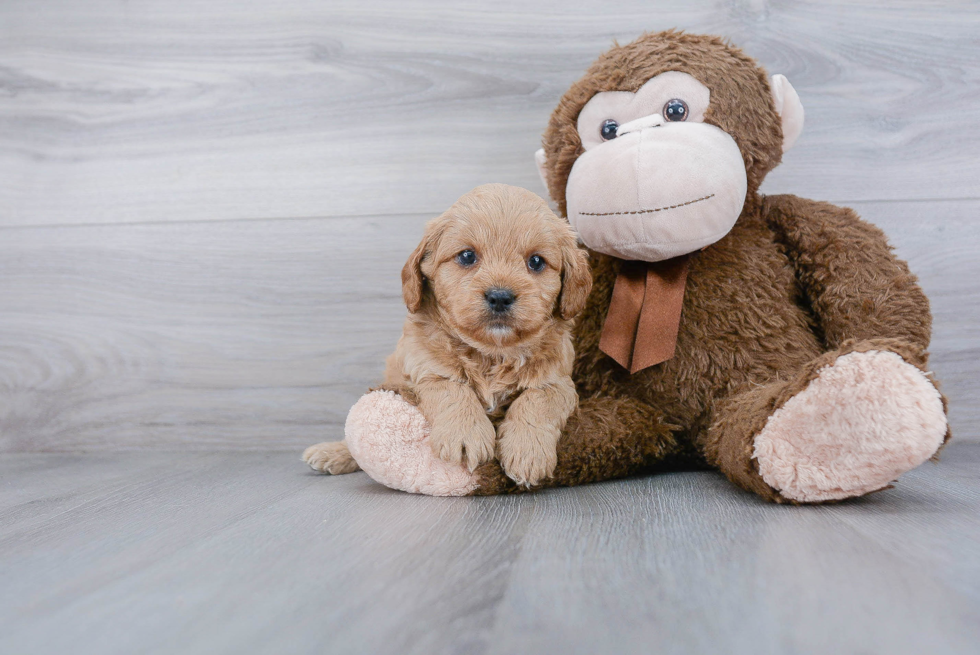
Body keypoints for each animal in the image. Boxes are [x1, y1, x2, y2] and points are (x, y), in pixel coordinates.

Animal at [304, 183, 588, 486]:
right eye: (467, 256)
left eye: (536, 262)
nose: (500, 297)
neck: (492, 353)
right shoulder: (423, 369)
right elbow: (451, 387)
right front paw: (466, 434)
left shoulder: (560, 382)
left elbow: (539, 400)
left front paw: (527, 451)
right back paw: (332, 452)